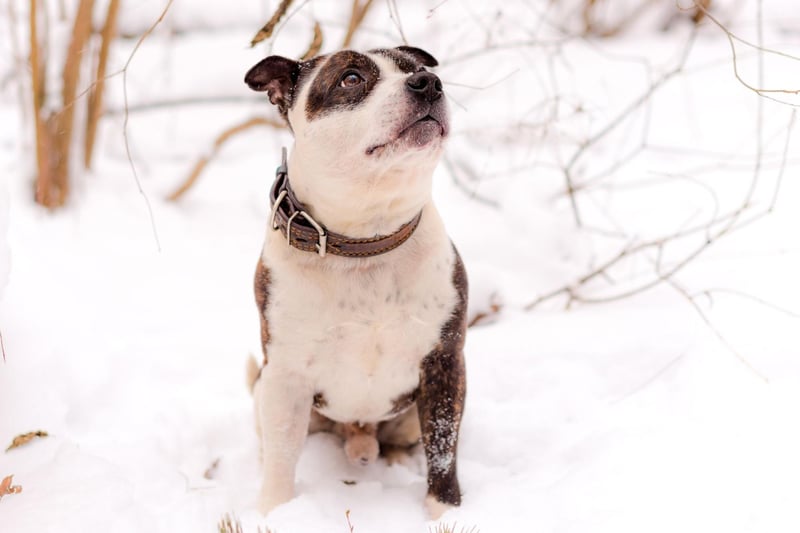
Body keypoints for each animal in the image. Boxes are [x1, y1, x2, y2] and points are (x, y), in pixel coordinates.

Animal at [245, 45, 468, 520]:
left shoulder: (443, 362)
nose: (428, 83)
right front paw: (275, 511)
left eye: (416, 68)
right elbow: (282, 454)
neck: (366, 241)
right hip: (264, 390)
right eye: (351, 78)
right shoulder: (285, 378)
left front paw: (446, 513)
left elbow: (443, 446)